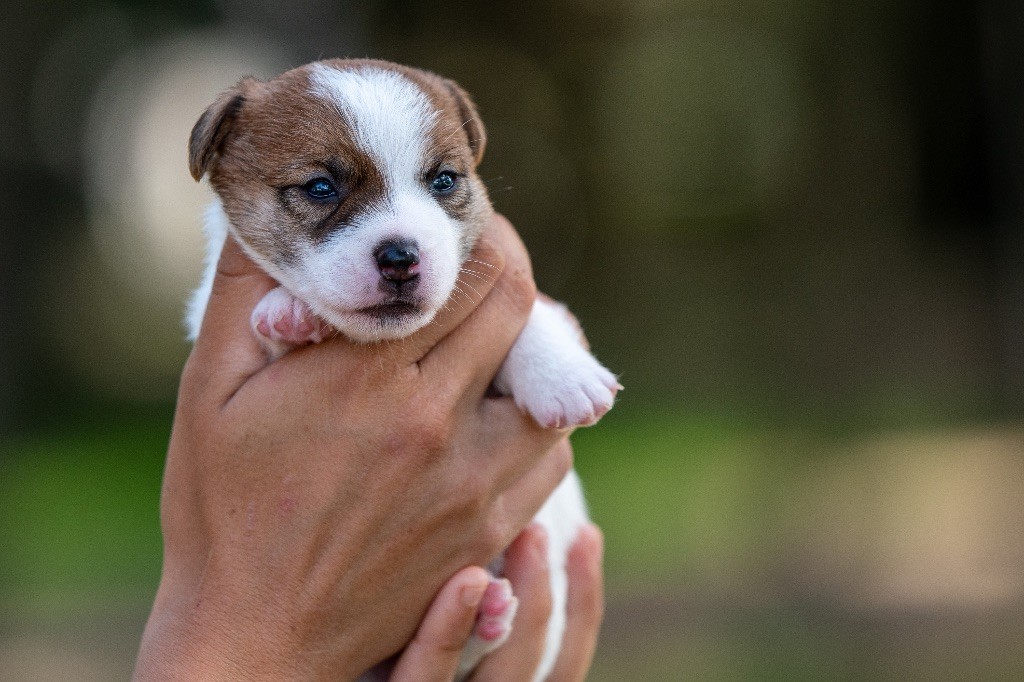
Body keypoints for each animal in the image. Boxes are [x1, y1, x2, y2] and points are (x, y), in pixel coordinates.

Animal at [185, 57, 618, 675]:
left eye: (443, 181)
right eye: (321, 188)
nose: (400, 257)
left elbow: (534, 316)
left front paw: (564, 377)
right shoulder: (205, 322)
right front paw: (289, 311)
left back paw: (486, 612)